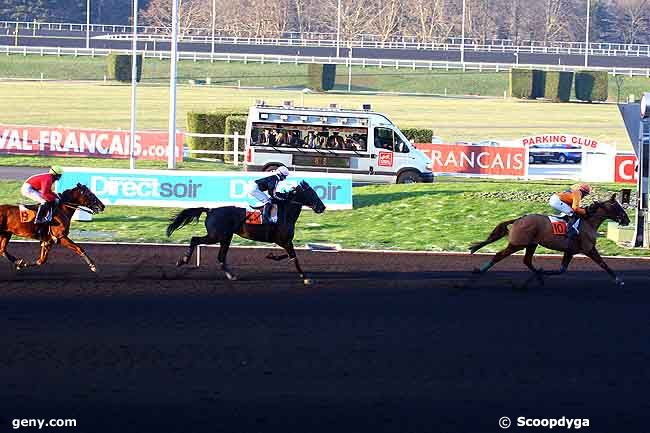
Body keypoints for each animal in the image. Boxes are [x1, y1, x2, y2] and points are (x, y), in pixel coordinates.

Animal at [166, 179, 324, 284]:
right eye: (311, 193)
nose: (322, 207)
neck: (285, 213)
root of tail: (210, 210)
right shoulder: (284, 240)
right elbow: (294, 258)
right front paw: (305, 278)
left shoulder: (284, 241)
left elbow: (289, 255)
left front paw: (271, 256)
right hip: (216, 236)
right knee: (195, 240)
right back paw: (183, 260)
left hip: (225, 237)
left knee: (221, 257)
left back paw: (231, 275)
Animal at [468, 194, 632, 286]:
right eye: (618, 207)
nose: (627, 220)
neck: (588, 222)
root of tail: (518, 219)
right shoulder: (588, 249)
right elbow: (603, 264)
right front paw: (619, 280)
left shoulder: (570, 251)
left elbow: (561, 270)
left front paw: (541, 273)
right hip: (517, 244)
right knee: (498, 256)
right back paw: (480, 270)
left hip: (531, 244)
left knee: (527, 261)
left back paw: (539, 276)